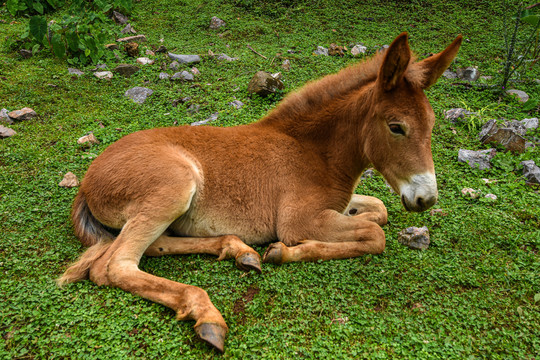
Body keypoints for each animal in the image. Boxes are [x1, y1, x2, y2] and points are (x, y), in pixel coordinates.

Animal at [60, 33, 464, 352]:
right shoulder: (299, 220)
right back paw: (208, 313)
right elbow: (374, 234)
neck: (314, 152)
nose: (426, 199)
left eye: (431, 124)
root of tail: (88, 180)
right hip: (174, 188)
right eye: (396, 127)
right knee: (115, 265)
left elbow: (378, 209)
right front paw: (286, 252)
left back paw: (238, 250)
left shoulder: (337, 204)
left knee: (152, 246)